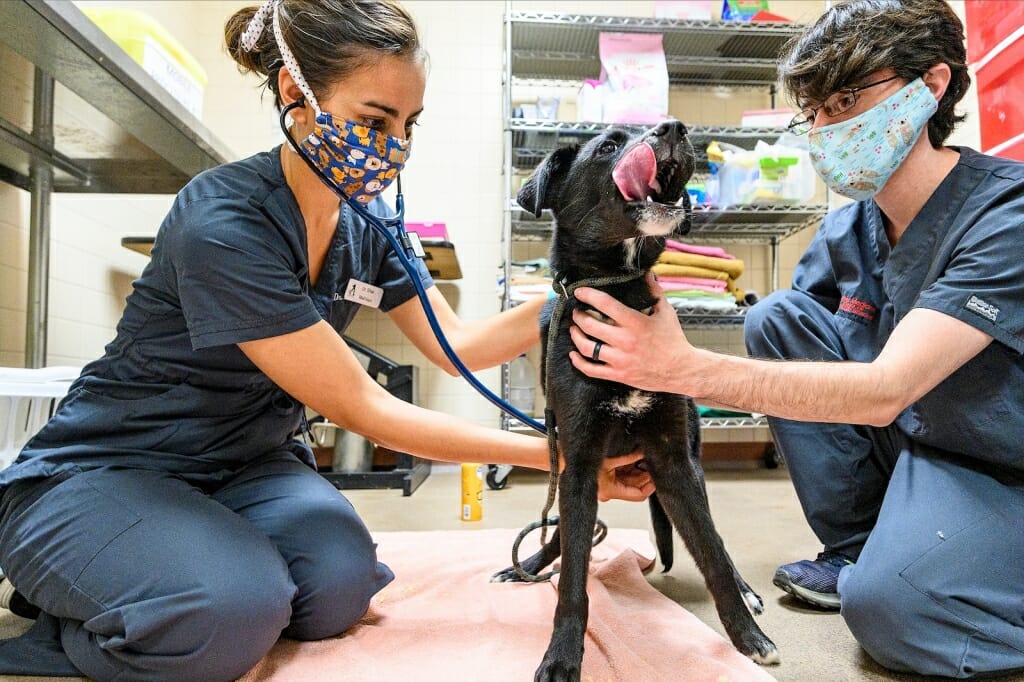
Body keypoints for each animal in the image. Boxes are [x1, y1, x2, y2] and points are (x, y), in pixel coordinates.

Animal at [493, 119, 774, 675]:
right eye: (607, 146)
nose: (675, 127)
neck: (616, 288)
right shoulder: (579, 462)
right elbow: (573, 575)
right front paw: (562, 655)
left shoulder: (673, 460)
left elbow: (712, 551)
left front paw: (747, 637)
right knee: (564, 535)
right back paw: (529, 565)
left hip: (692, 461)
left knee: (716, 540)